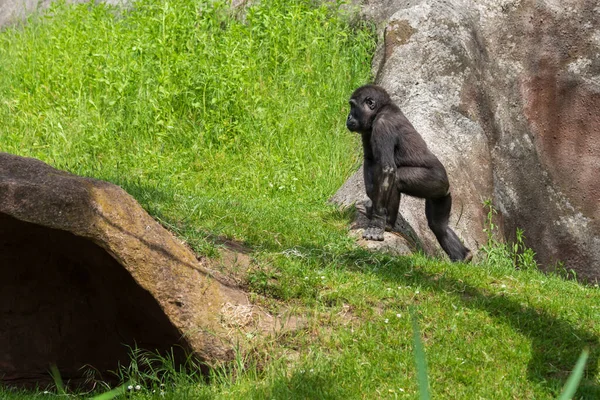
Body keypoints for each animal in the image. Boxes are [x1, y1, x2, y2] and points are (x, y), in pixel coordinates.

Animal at [344, 84, 472, 262]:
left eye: (353, 106)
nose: (348, 117)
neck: (380, 110)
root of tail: (447, 184)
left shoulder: (383, 125)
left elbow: (387, 169)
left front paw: (377, 222)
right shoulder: (367, 129)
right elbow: (370, 160)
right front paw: (372, 201)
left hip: (434, 181)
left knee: (396, 180)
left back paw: (388, 223)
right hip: (441, 194)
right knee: (439, 225)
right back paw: (463, 256)